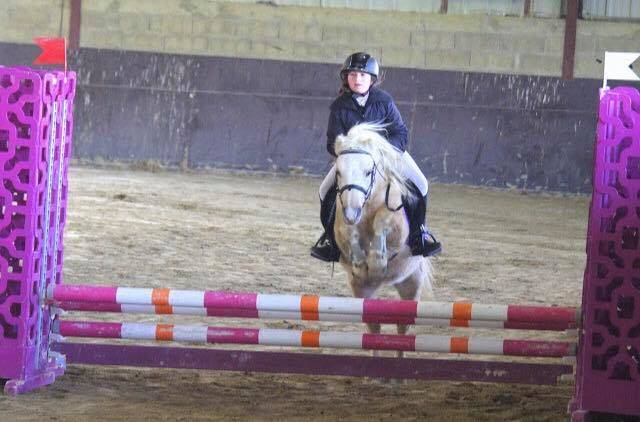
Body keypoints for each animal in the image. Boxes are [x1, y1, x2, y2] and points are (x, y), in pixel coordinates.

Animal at [332, 122, 435, 354]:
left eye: (368, 171)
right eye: (339, 172)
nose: (352, 211)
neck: (367, 204)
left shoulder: (396, 225)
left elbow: (382, 221)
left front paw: (378, 261)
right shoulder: (343, 226)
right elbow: (349, 232)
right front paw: (362, 263)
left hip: (410, 283)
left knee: (402, 328)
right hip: (362, 290)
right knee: (374, 327)